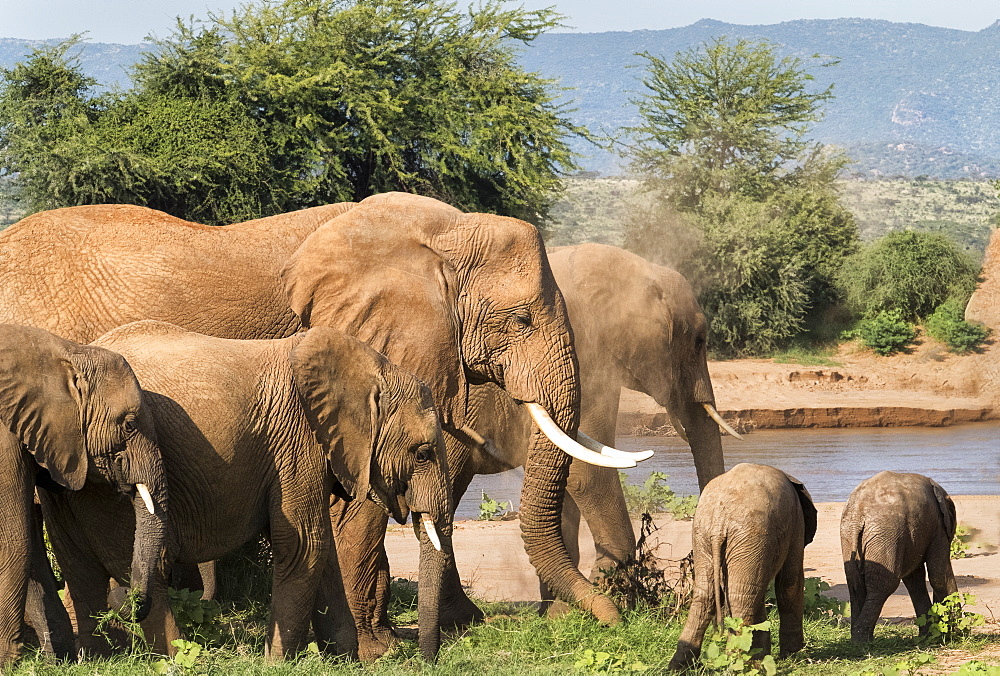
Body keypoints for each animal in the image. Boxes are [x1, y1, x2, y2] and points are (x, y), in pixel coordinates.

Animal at [0, 326, 166, 664]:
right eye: (129, 425)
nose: (120, 593)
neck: (65, 353)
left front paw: (56, 658)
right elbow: (14, 537)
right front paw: (8, 661)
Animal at [668, 462, 816, 668]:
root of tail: (719, 521)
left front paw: (762, 656)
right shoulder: (796, 523)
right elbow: (790, 582)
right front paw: (793, 654)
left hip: (705, 535)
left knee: (707, 594)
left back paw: (679, 666)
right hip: (749, 534)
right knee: (742, 597)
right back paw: (737, 665)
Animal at [840, 468, 956, 640]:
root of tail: (858, 513)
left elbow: (914, 581)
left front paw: (927, 635)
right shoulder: (938, 528)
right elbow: (939, 576)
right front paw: (955, 633)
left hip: (848, 535)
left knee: (855, 584)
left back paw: (858, 639)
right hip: (885, 534)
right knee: (884, 585)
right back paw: (863, 640)